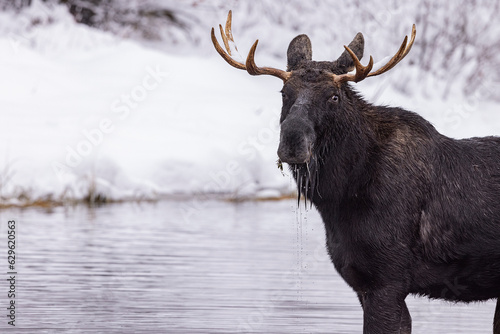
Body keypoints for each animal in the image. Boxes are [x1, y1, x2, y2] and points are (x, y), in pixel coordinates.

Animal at [210, 11, 500, 334]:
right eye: (284, 93)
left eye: (334, 96)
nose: (292, 142)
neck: (338, 197)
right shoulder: (361, 281)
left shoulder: (386, 281)